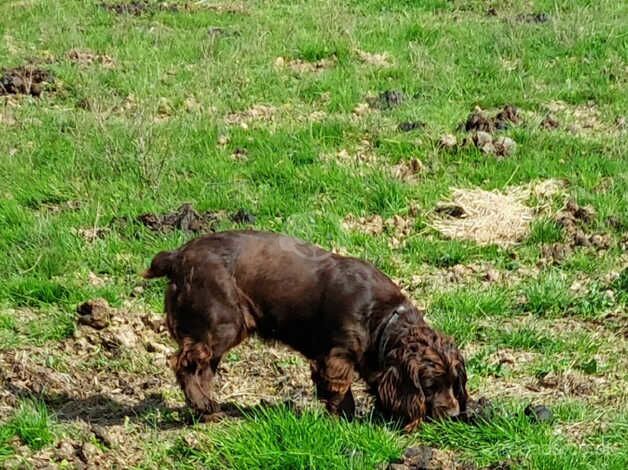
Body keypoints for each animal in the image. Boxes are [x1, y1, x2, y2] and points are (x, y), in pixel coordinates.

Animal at [144, 230, 466, 430]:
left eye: (454, 382)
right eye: (430, 385)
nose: (453, 414)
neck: (384, 317)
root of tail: (177, 256)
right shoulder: (335, 357)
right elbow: (340, 392)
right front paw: (345, 422)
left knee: (203, 369)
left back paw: (209, 410)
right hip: (221, 324)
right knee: (183, 362)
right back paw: (203, 405)